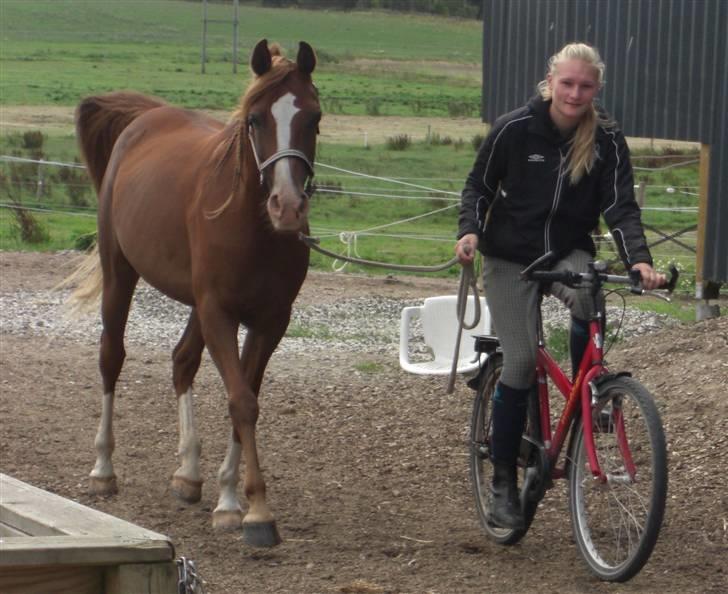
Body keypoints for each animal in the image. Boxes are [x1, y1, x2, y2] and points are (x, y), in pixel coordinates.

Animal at [72, 39, 320, 544]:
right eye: (255, 118)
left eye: (315, 117)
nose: (287, 207)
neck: (254, 228)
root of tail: (147, 118)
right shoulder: (219, 312)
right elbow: (241, 400)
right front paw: (255, 511)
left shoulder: (270, 321)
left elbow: (244, 398)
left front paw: (231, 498)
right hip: (121, 273)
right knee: (111, 357)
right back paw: (103, 469)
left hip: (194, 305)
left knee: (182, 361)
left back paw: (188, 475)